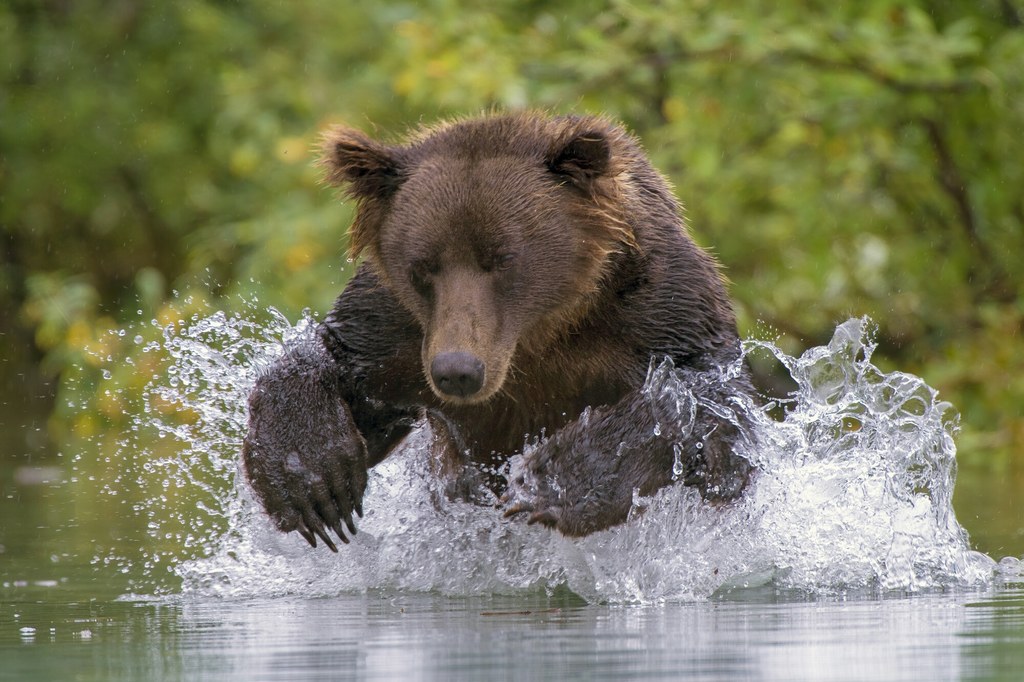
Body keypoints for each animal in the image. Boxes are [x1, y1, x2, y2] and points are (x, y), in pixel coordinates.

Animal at [239, 110, 753, 548]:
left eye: (503, 258)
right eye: (423, 265)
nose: (457, 370)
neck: (542, 332)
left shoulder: (658, 309)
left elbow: (711, 410)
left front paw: (547, 483)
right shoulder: (396, 332)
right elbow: (336, 362)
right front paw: (311, 480)